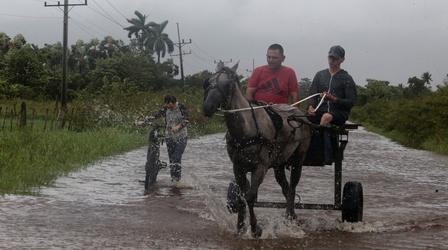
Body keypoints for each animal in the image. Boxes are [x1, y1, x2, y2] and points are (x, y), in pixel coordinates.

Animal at [203, 62, 312, 236]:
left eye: (228, 84)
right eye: (207, 82)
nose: (207, 107)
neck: (247, 130)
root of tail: (298, 112)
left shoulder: (260, 167)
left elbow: (250, 197)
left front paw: (255, 228)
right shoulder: (238, 167)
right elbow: (241, 197)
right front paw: (240, 227)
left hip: (298, 160)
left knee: (293, 188)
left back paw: (290, 217)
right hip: (278, 164)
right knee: (286, 189)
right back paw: (291, 216)